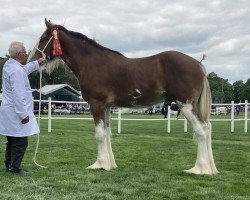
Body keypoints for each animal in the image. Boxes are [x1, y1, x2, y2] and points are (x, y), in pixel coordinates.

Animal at [28, 19, 218, 175]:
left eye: (44, 38)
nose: (31, 59)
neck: (93, 64)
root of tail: (198, 65)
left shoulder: (96, 105)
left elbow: (99, 135)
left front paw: (98, 165)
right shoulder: (106, 107)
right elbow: (107, 134)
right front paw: (109, 165)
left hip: (185, 104)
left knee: (201, 130)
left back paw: (199, 169)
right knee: (208, 127)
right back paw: (210, 168)